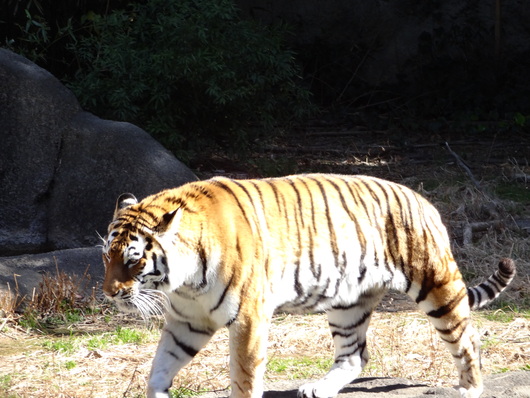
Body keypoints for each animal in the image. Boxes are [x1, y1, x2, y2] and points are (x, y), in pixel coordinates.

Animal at [101, 174, 512, 398]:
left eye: (133, 259)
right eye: (107, 256)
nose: (110, 293)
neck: (184, 282)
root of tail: (423, 201)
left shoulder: (249, 319)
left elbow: (245, 376)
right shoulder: (188, 321)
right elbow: (160, 366)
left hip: (435, 284)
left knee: (467, 338)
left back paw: (471, 387)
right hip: (348, 304)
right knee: (355, 355)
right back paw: (321, 388)